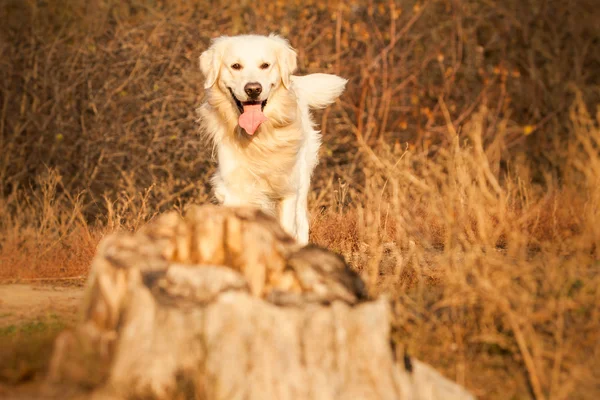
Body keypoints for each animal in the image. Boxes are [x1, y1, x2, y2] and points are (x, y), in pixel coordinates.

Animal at [198, 33, 346, 244]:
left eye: (265, 65)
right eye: (236, 66)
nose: (253, 89)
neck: (259, 139)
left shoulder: (287, 189)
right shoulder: (233, 189)